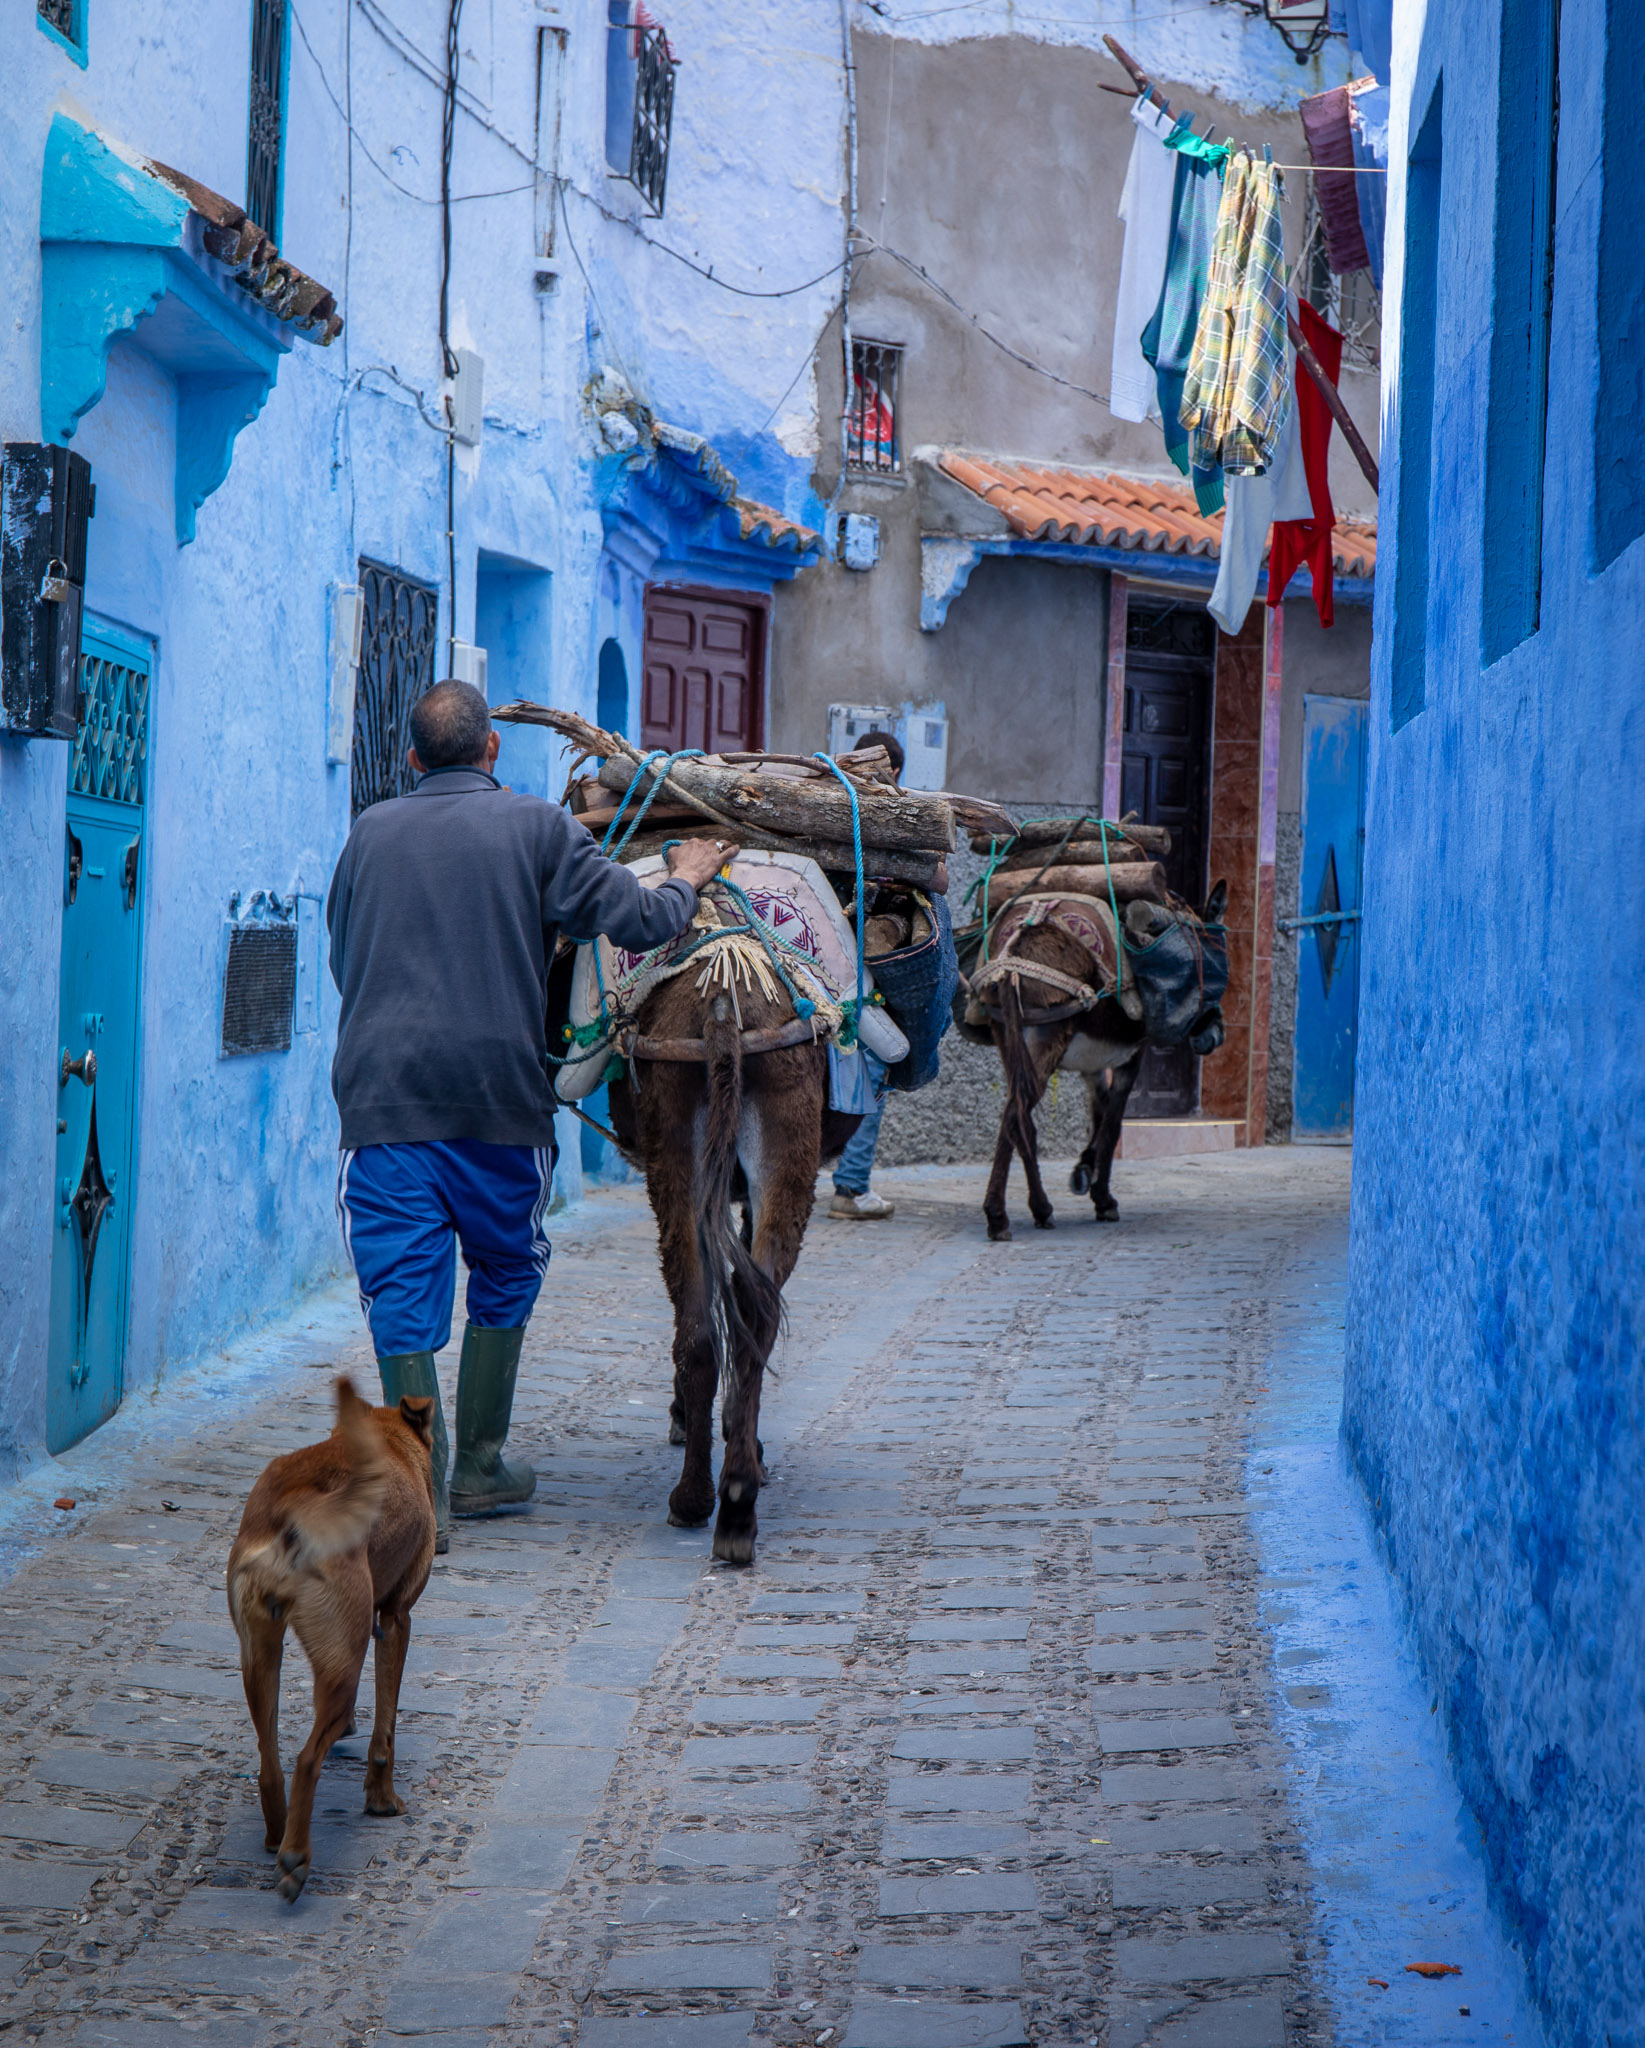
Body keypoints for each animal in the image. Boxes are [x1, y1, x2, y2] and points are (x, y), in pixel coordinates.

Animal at [231, 1376, 440, 1900]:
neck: (389, 1439)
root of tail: (292, 1508)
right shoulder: (396, 1619)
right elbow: (385, 1731)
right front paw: (381, 1800)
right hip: (343, 1661)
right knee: (307, 1760)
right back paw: (295, 1858)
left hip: (260, 1657)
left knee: (270, 1763)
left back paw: (278, 1833)